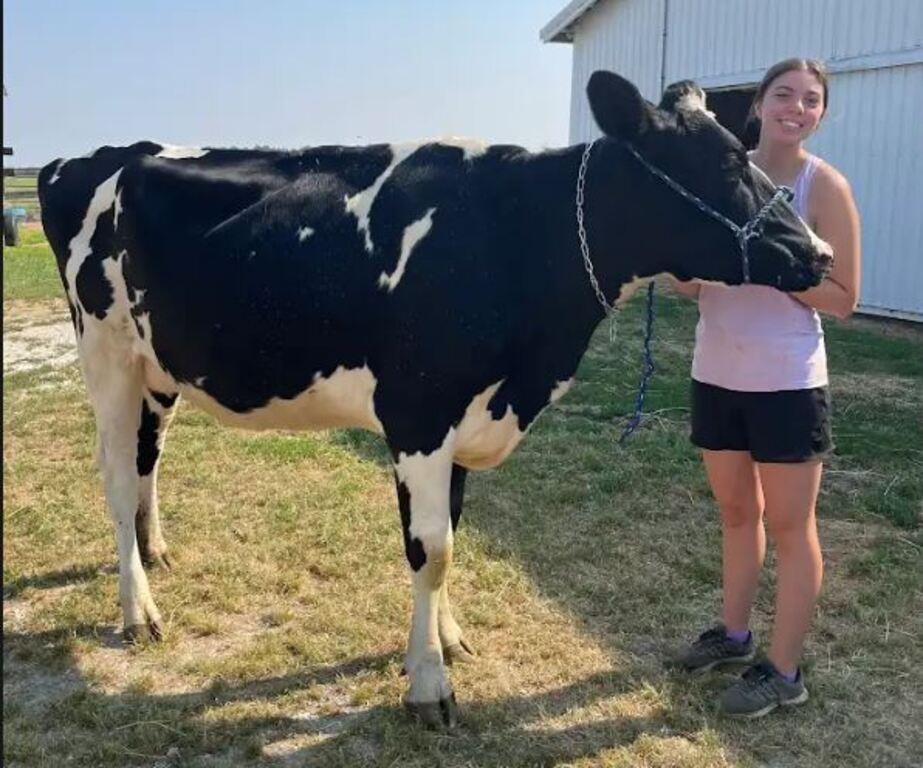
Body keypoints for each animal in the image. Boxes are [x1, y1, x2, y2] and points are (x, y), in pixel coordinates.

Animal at [39, 72, 832, 728]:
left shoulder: (466, 419)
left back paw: (155, 552)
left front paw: (447, 640)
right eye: (725, 163)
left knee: (148, 458)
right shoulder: (419, 413)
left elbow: (450, 528)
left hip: (158, 365)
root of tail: (82, 157)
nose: (820, 254)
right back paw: (138, 610)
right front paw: (428, 685)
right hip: (104, 350)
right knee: (117, 477)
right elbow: (433, 550)